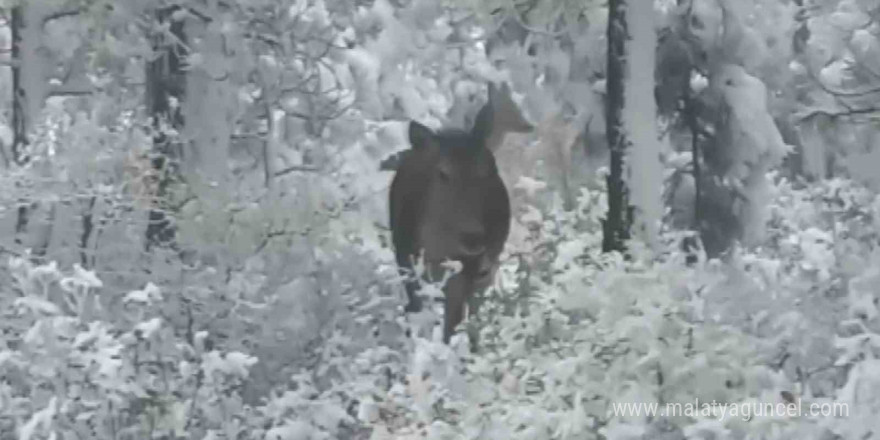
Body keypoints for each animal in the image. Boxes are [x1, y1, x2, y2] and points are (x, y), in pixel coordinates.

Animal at [390, 81, 528, 344]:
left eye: (488, 169)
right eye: (442, 172)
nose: (473, 237)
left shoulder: (465, 276)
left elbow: (451, 328)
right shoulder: (405, 263)